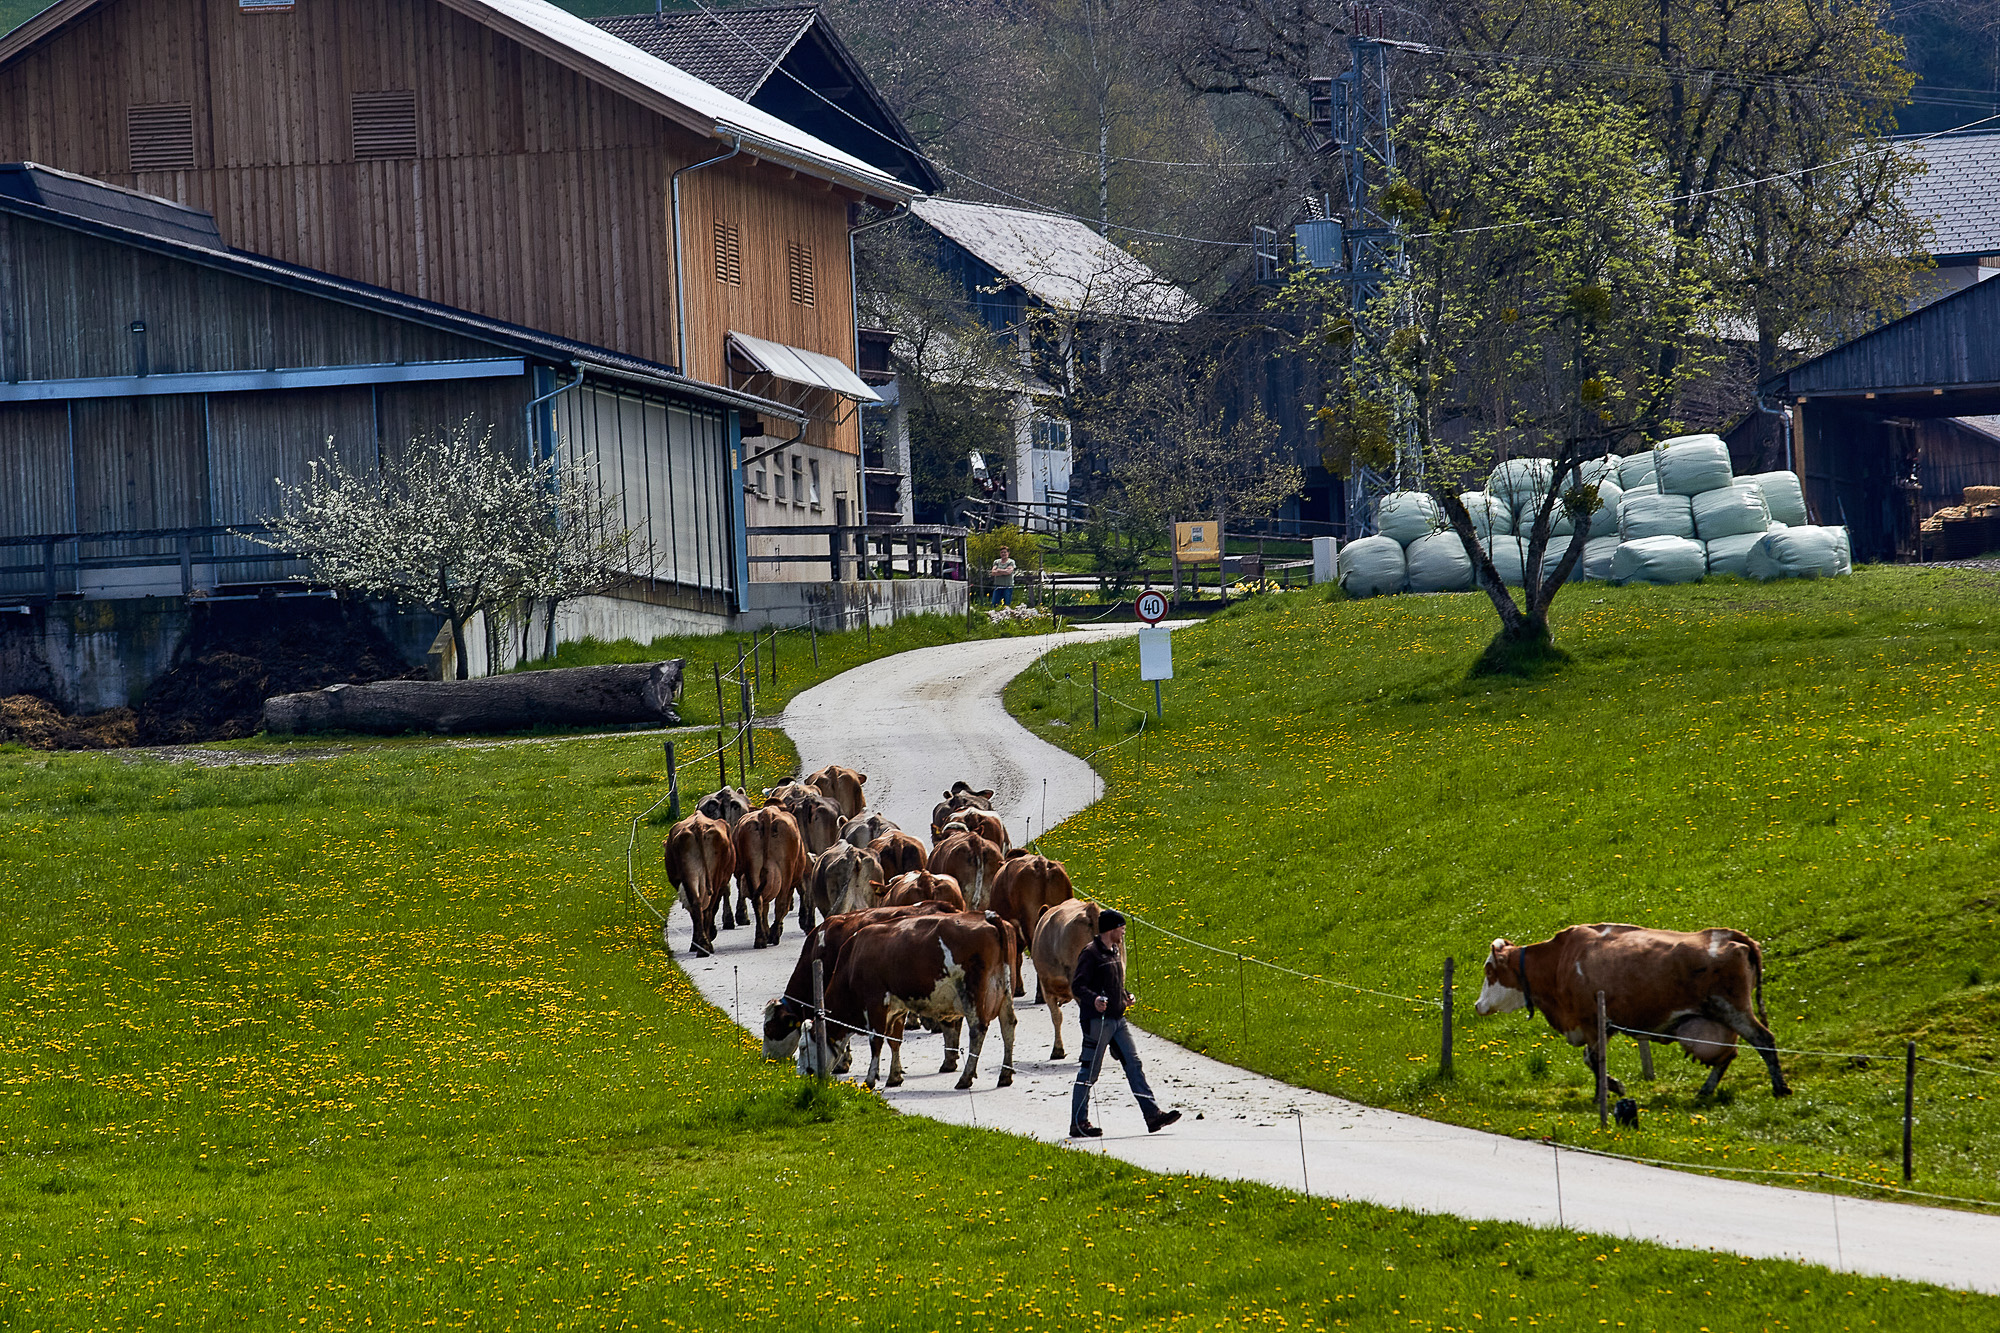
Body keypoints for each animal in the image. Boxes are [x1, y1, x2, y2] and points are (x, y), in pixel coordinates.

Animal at [663, 813, 735, 958]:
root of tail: (698, 824)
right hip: (715, 877)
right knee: (708, 909)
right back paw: (705, 945)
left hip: (691, 874)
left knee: (697, 906)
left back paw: (701, 946)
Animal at [731, 805, 811, 948]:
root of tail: (767, 813)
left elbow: (765, 908)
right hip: (787, 869)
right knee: (781, 903)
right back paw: (774, 935)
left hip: (753, 867)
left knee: (758, 901)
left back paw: (761, 938)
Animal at [800, 911, 1018, 1091]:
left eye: (803, 1047)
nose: (800, 1076)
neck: (853, 958)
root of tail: (988, 916)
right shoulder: (896, 1007)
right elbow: (895, 1039)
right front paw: (895, 1076)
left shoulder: (875, 1001)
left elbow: (876, 1040)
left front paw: (870, 1080)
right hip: (1004, 990)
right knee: (1008, 1026)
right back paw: (1005, 1075)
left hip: (973, 991)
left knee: (977, 1030)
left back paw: (965, 1078)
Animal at [1473, 924, 1790, 1099]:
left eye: (1489, 970)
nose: (1478, 1005)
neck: (1560, 961)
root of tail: (1726, 935)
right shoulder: (1604, 1025)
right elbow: (1591, 1060)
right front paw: (1613, 1087)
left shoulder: (1592, 1021)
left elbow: (1596, 1060)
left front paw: (1602, 1094)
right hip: (1719, 1017)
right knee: (1727, 1054)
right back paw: (1705, 1091)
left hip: (1733, 1008)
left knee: (1763, 1040)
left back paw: (1780, 1088)